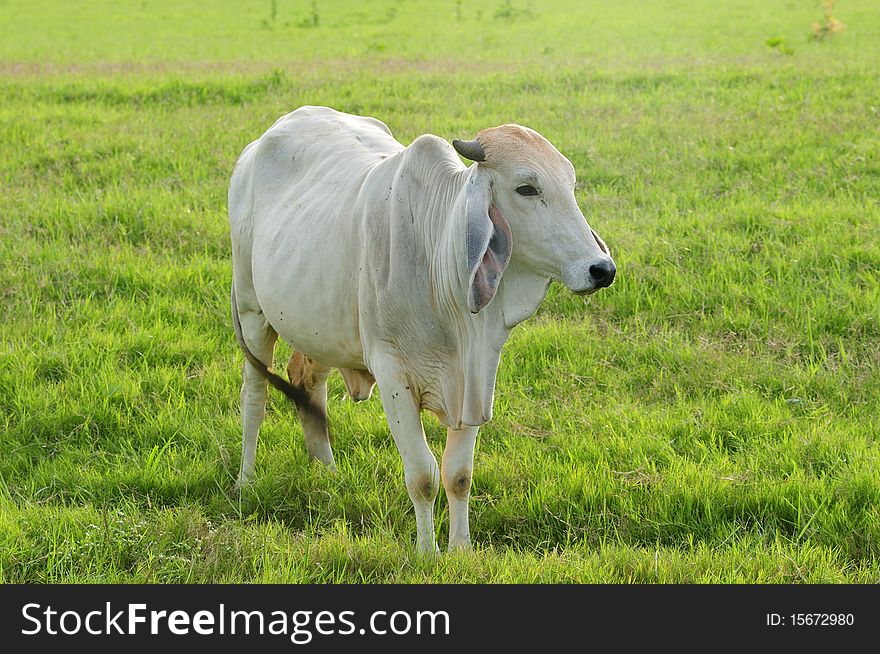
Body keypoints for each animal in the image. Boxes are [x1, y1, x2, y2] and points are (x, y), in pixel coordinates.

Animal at [227, 106, 616, 552]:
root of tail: (264, 139)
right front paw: (427, 553)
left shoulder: (477, 374)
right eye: (526, 188)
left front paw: (461, 549)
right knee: (255, 398)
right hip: (252, 311)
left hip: (318, 326)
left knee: (308, 383)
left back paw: (328, 472)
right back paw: (246, 480)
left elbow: (458, 475)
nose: (601, 269)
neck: (439, 260)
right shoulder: (393, 376)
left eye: (570, 185)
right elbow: (423, 476)